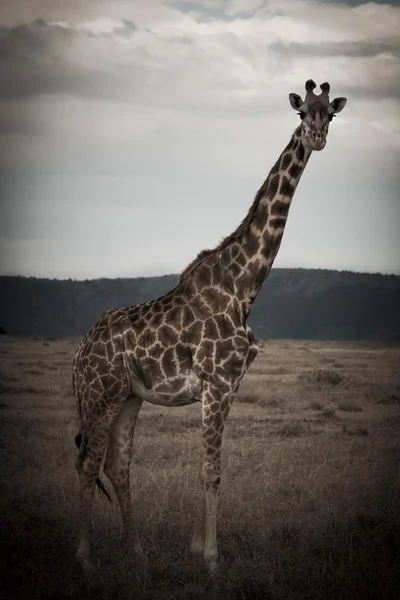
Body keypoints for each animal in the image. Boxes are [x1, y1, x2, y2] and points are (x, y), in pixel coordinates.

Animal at [72, 78, 346, 572]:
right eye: (302, 113)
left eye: (330, 113)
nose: (317, 137)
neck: (245, 287)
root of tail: (79, 355)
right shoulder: (216, 383)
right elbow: (212, 471)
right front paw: (213, 560)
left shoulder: (228, 386)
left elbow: (209, 467)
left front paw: (197, 548)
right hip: (100, 394)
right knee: (89, 461)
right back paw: (85, 558)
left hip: (128, 398)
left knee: (117, 465)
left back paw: (137, 553)